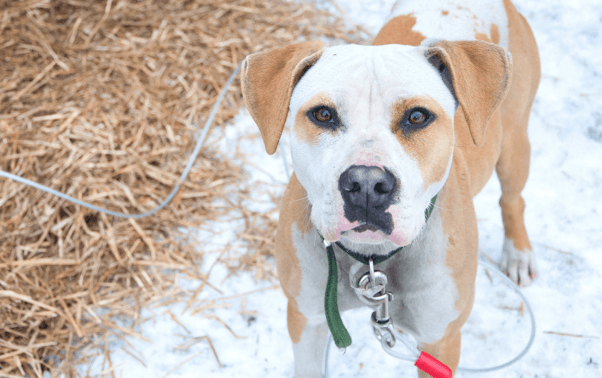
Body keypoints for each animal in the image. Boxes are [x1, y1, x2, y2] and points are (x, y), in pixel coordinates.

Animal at [239, 0, 540, 376]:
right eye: (323, 114)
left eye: (417, 117)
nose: (367, 183)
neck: (370, 260)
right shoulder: (307, 319)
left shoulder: (440, 342)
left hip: (514, 145)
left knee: (512, 198)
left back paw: (518, 253)